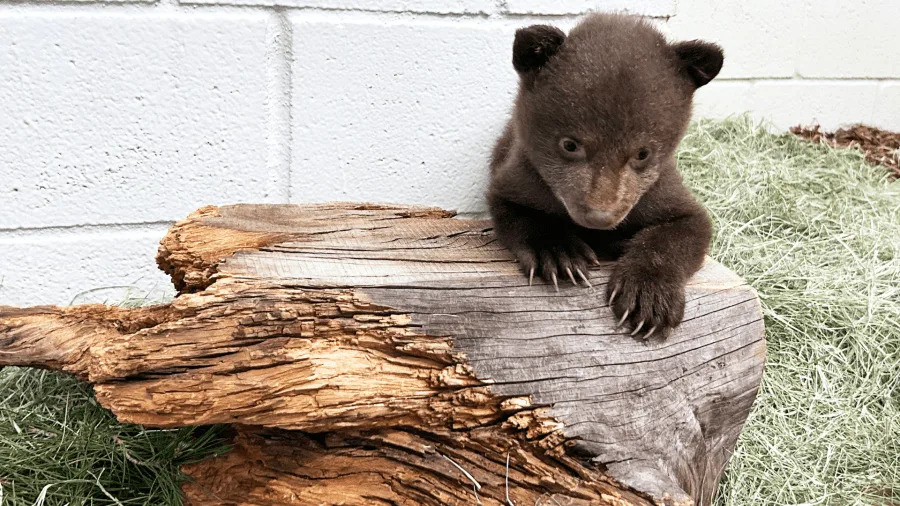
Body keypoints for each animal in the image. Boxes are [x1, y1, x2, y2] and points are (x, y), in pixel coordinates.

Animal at [487, 13, 723, 339]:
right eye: (570, 144)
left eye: (642, 153)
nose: (600, 216)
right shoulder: (519, 173)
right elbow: (515, 209)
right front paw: (559, 254)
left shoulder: (661, 190)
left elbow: (687, 226)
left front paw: (648, 296)